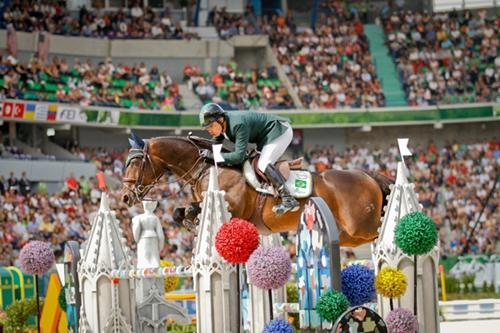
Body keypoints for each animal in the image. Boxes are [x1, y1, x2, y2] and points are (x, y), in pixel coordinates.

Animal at [119, 134, 392, 246]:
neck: (206, 168)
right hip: (348, 236)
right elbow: (179, 211)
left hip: (360, 228)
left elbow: (188, 210)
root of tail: (367, 175)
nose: (125, 197)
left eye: (136, 163)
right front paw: (191, 224)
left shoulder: (233, 206)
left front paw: (193, 223)